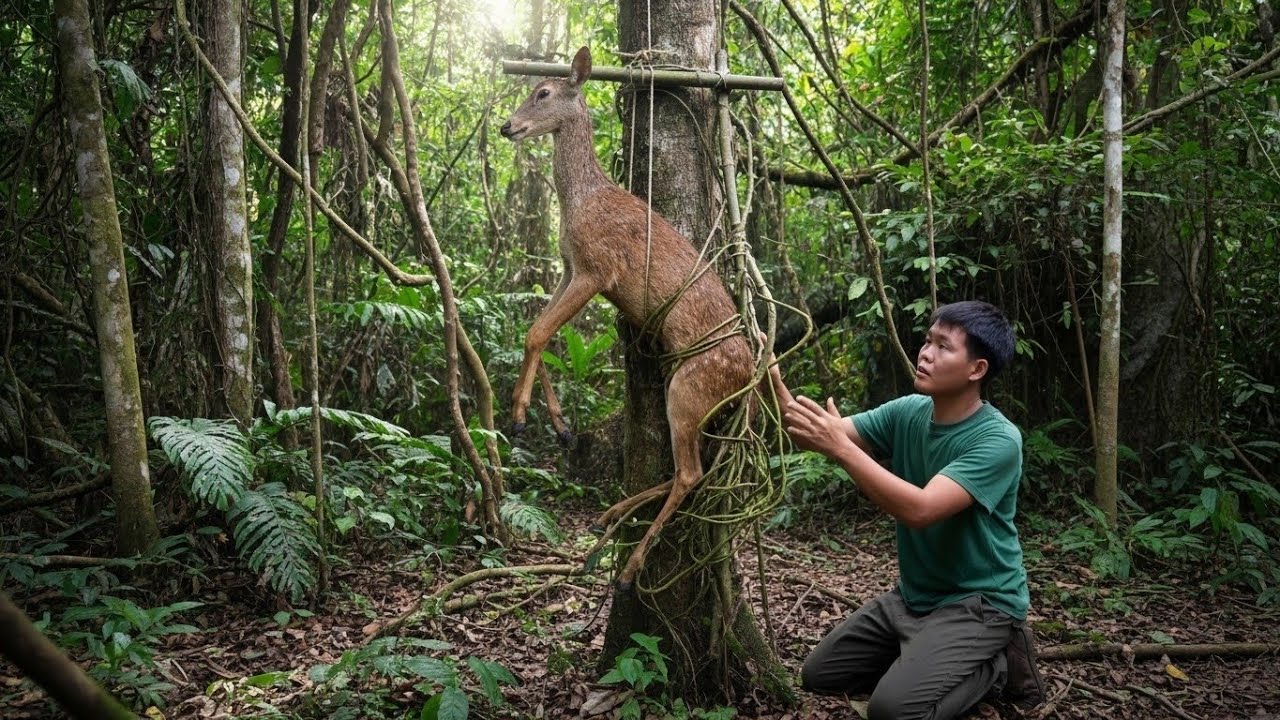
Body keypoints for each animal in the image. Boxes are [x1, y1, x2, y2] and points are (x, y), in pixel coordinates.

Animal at [500, 46, 756, 591]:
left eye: (543, 92)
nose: (508, 126)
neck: (581, 200)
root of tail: (750, 373)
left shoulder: (599, 268)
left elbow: (538, 332)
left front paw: (519, 415)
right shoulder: (569, 266)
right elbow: (537, 330)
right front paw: (561, 426)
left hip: (692, 385)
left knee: (690, 473)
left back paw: (629, 567)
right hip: (695, 394)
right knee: (689, 469)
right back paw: (609, 517)